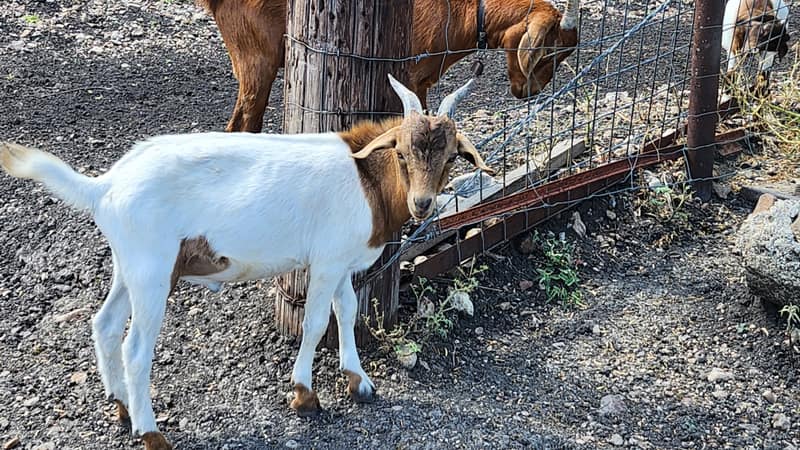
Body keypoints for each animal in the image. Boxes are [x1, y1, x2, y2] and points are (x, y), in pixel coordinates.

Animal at [0, 75, 494, 450]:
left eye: (450, 156)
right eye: (403, 152)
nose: (422, 204)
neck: (364, 175)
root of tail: (105, 186)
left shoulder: (339, 260)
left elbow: (347, 311)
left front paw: (359, 382)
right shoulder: (327, 260)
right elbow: (317, 322)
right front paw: (304, 395)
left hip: (130, 265)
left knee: (103, 325)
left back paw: (121, 407)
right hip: (152, 269)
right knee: (135, 348)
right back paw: (151, 433)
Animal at [198, 0, 580, 132]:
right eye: (549, 52)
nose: (530, 91)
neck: (466, 11)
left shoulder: (422, 81)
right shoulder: (408, 75)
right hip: (256, 57)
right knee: (241, 125)